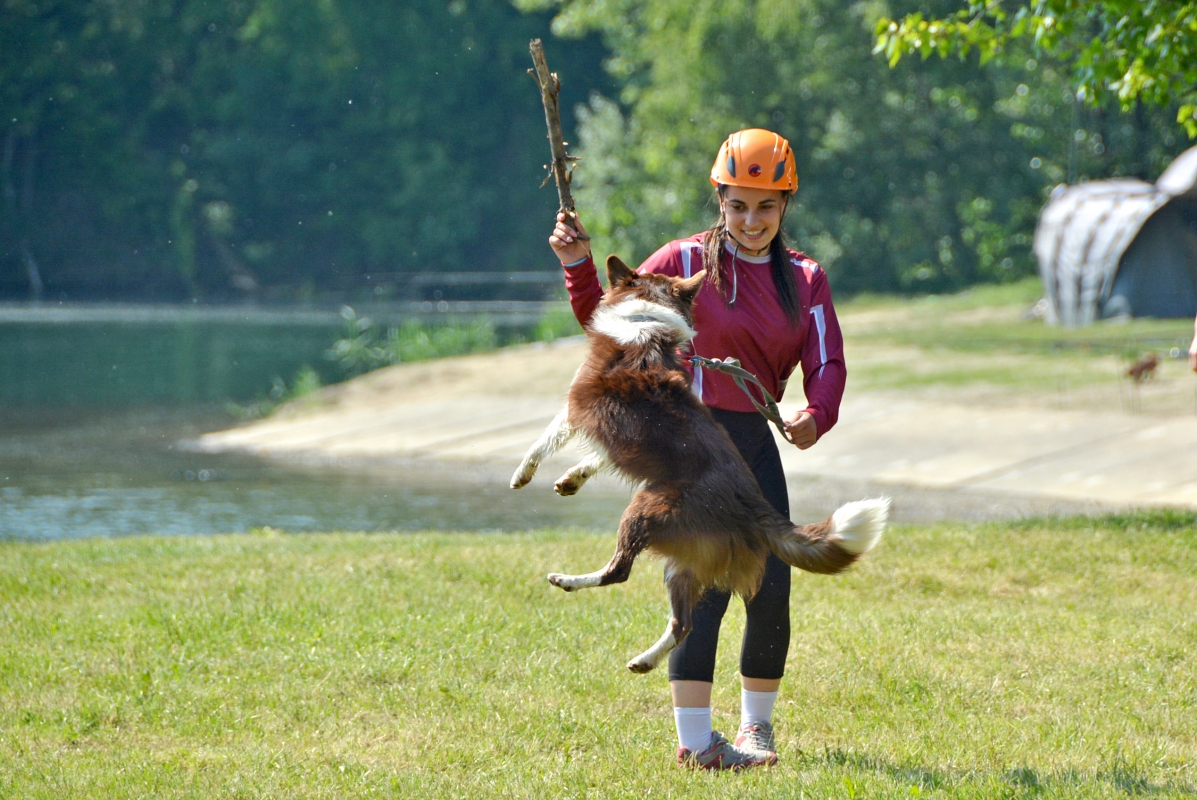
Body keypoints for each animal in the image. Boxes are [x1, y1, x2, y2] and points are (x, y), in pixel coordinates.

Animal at [507, 256, 890, 675]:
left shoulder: (580, 406)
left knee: (620, 572)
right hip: (687, 560)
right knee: (684, 623)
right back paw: (644, 659)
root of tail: (749, 500)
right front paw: (572, 478)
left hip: (645, 509)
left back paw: (567, 580)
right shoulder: (619, 435)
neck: (646, 318)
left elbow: (547, 439)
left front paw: (523, 473)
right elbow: (598, 457)